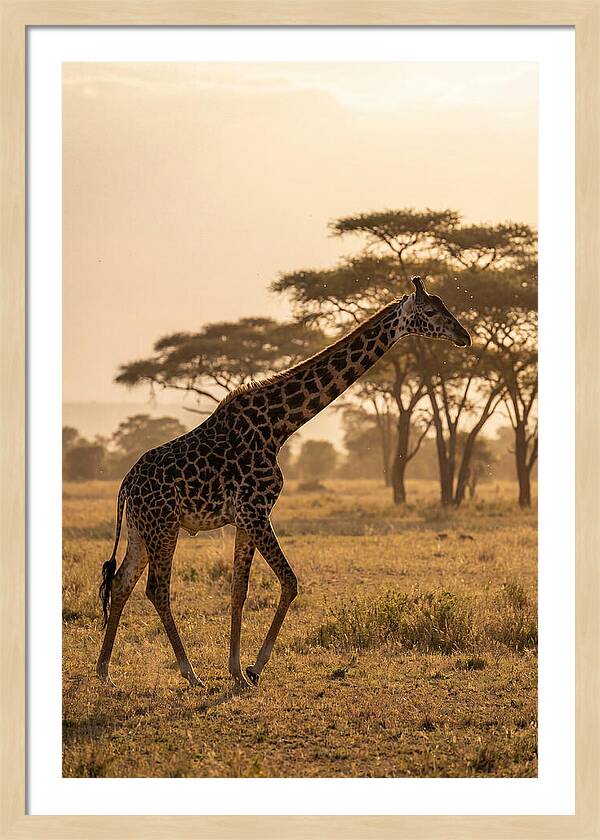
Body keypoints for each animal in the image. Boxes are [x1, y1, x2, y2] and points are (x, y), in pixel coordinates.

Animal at [96, 276, 471, 689]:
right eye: (432, 311)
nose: (464, 336)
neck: (279, 426)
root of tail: (126, 485)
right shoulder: (255, 510)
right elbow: (290, 582)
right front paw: (254, 668)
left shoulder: (245, 518)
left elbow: (239, 589)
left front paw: (236, 670)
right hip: (164, 526)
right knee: (156, 589)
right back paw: (190, 674)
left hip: (141, 529)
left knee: (121, 582)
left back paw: (105, 672)